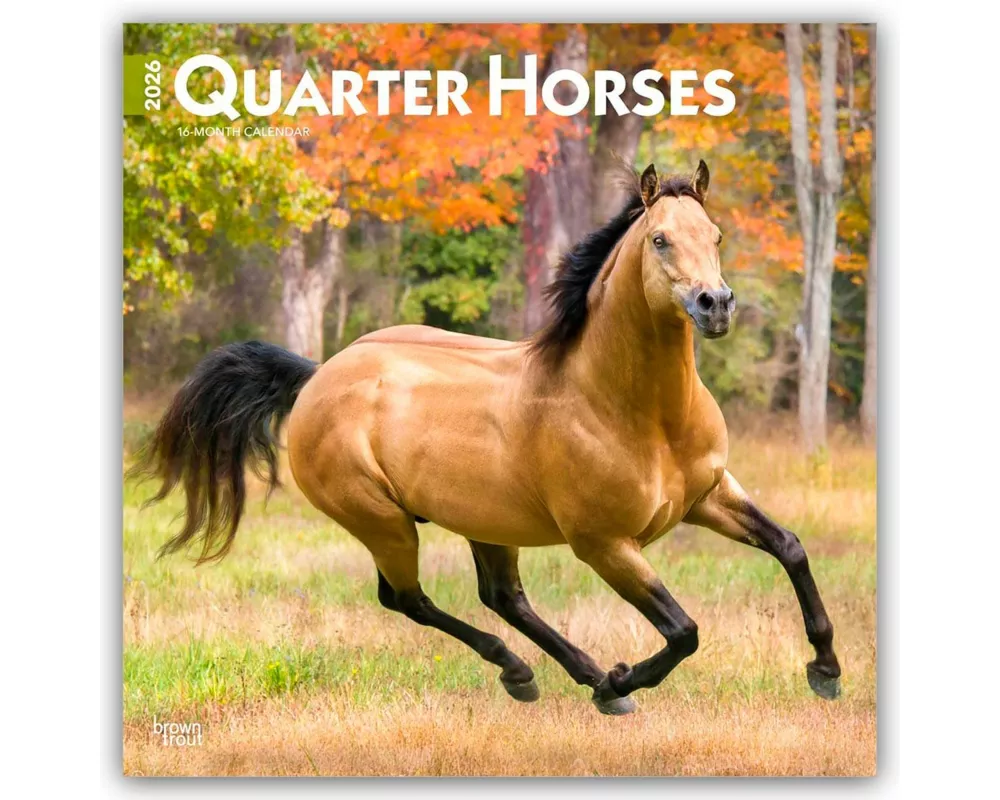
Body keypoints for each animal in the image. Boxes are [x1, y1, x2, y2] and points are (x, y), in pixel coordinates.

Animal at [134, 161, 841, 715]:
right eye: (661, 239)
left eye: (716, 235)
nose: (715, 305)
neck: (634, 411)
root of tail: (317, 378)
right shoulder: (606, 545)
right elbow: (684, 630)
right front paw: (623, 679)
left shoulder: (709, 495)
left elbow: (791, 547)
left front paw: (826, 670)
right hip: (383, 523)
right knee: (408, 599)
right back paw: (541, 675)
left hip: (485, 521)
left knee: (500, 597)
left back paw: (573, 676)